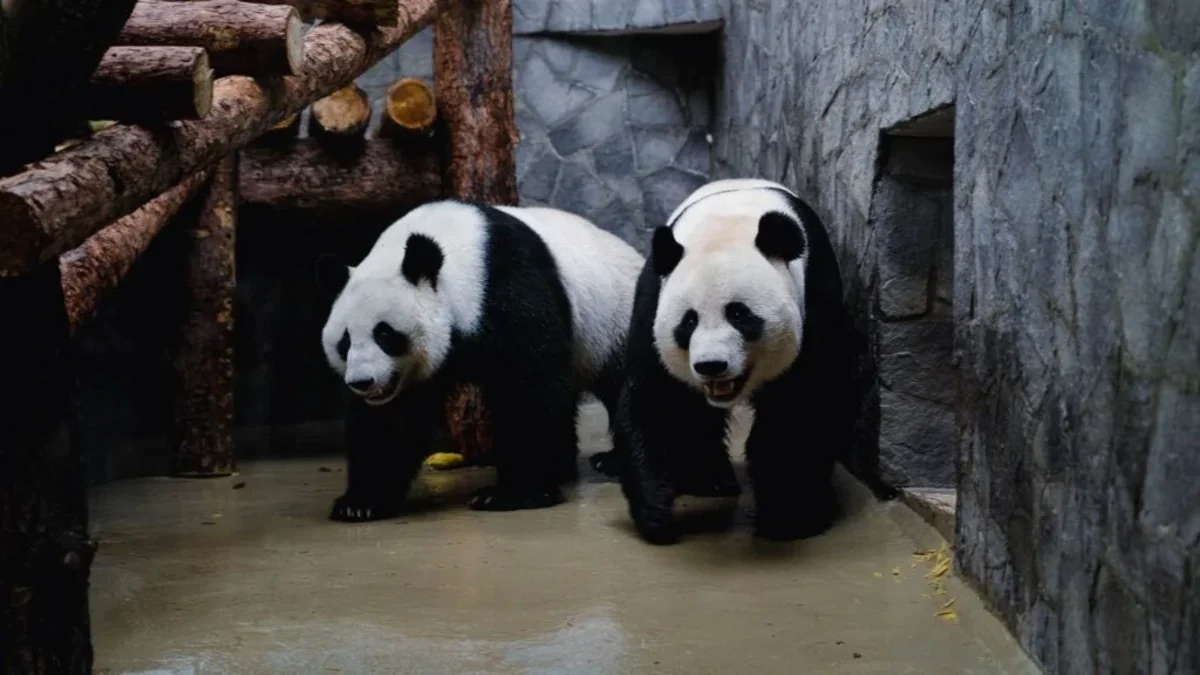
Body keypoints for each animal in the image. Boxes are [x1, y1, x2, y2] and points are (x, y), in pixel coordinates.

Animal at [317, 200, 644, 522]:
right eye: (345, 342)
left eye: (384, 334)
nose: (362, 382)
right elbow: (390, 420)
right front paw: (361, 503)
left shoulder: (506, 285)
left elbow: (530, 389)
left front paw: (512, 493)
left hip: (616, 322)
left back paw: (612, 462)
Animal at [611, 178, 851, 544]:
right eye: (689, 321)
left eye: (739, 314)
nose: (711, 365)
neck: (727, 224)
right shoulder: (654, 300)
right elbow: (657, 400)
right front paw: (656, 512)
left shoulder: (814, 298)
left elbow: (800, 409)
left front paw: (789, 518)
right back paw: (709, 480)